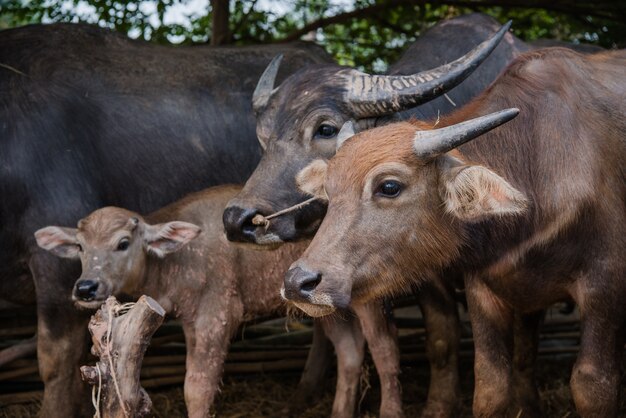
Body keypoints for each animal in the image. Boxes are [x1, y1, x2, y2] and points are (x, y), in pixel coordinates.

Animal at [34, 185, 372, 418]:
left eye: (123, 243)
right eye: (80, 246)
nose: (86, 287)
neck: (176, 260)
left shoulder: (217, 315)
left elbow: (197, 387)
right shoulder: (190, 320)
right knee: (349, 350)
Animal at [286, 47, 624, 416]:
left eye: (389, 186)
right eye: (329, 191)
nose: (298, 282)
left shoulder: (604, 286)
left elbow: (592, 386)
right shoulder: (483, 287)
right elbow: (490, 385)